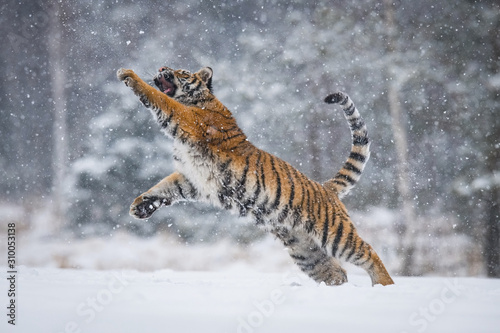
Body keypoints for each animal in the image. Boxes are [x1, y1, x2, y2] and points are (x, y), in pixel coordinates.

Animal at [116, 65, 394, 286]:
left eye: (181, 71)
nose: (162, 68)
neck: (200, 101)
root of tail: (326, 187)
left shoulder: (187, 120)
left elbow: (159, 99)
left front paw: (129, 75)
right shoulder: (192, 178)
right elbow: (164, 187)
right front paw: (140, 206)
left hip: (334, 234)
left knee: (369, 253)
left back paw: (385, 286)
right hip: (306, 252)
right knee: (337, 273)